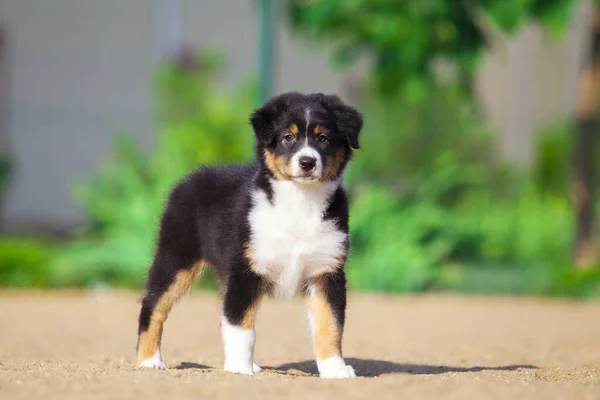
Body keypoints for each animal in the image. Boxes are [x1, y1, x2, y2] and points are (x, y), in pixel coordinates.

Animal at [136, 92, 360, 380]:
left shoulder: (326, 272)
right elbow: (243, 328)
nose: (307, 162)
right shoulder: (246, 271)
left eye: (323, 138)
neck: (300, 201)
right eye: (288, 137)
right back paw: (149, 361)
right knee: (153, 306)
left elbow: (330, 325)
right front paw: (240, 369)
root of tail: (189, 178)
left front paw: (334, 368)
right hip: (176, 258)